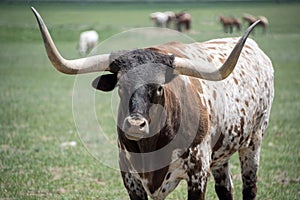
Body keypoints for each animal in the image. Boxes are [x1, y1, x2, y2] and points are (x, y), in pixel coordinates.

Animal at [32, 7, 274, 199]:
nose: (135, 125)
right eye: (120, 86)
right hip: (221, 154)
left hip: (254, 140)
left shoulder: (198, 172)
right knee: (226, 189)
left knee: (250, 187)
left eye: (159, 88)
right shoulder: (130, 178)